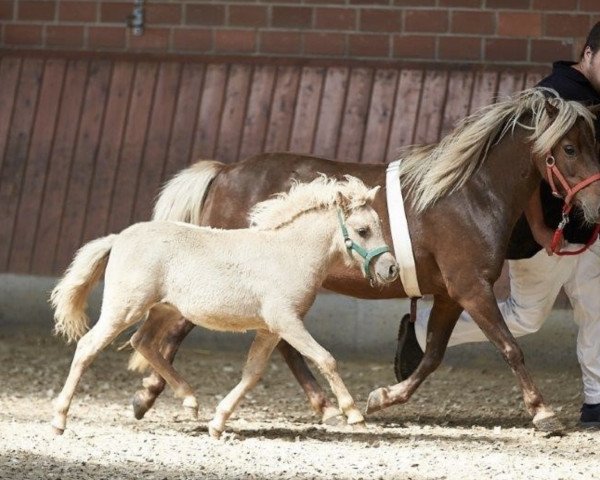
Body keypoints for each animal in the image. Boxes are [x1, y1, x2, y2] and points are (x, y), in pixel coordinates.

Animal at [50, 177, 398, 438]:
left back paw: (190, 401)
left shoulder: (270, 330)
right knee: (88, 347)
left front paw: (218, 423)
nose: (391, 269)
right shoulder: (286, 322)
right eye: (363, 230)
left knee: (143, 342)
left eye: (379, 224)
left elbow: (252, 373)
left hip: (164, 310)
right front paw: (353, 414)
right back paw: (59, 420)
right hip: (124, 309)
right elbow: (326, 359)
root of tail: (118, 237)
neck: (288, 254)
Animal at [130, 88, 600, 434]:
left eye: (593, 143)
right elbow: (509, 346)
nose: (595, 204)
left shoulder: (452, 294)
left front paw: (381, 397)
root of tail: (225, 172)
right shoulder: (471, 287)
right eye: (569, 148)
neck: (469, 192)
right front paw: (543, 412)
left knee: (279, 343)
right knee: (184, 329)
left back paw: (323, 405)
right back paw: (151, 394)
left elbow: (432, 356)